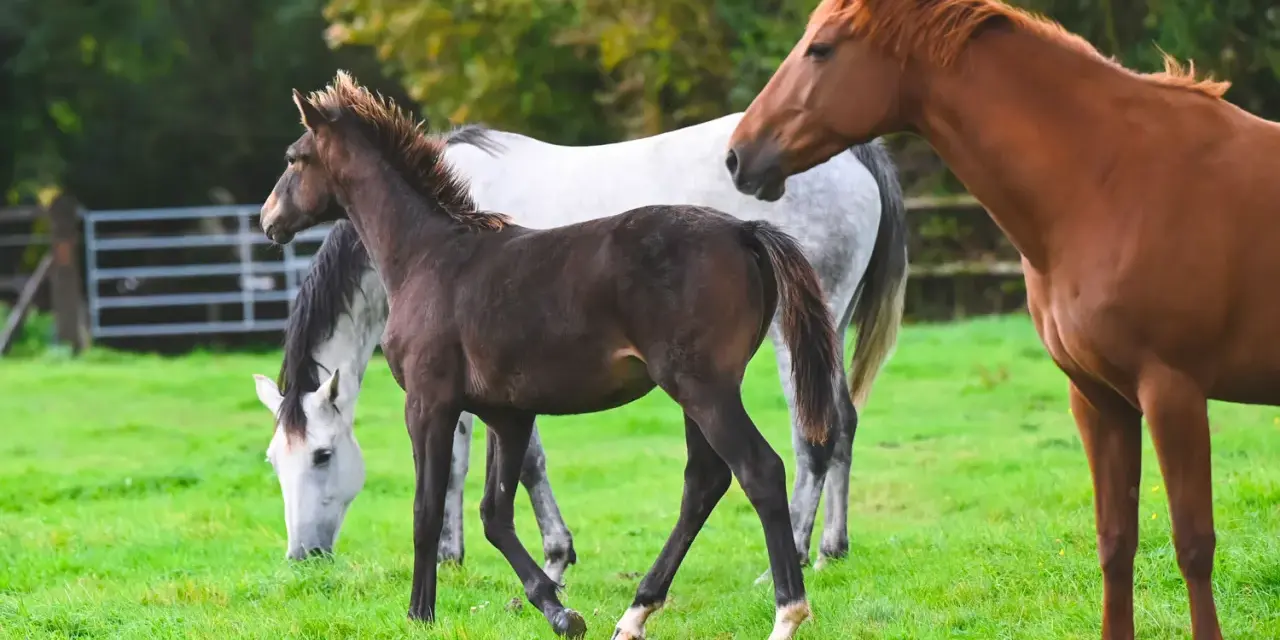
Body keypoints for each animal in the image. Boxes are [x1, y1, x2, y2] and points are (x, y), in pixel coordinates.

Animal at [259, 71, 848, 639]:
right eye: (273, 460)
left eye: (293, 158)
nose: (269, 220)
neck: (427, 256)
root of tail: (745, 230)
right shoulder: (507, 414)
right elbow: (495, 512)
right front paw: (559, 611)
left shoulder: (429, 404)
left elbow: (427, 509)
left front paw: (419, 615)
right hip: (700, 392)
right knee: (704, 483)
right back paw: (633, 615)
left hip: (704, 389)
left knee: (759, 470)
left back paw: (786, 614)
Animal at [726, 1, 1280, 638]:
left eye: (822, 49)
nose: (738, 155)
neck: (1111, 181)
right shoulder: (1099, 400)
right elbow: (1116, 541)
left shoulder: (1174, 394)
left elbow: (1193, 544)